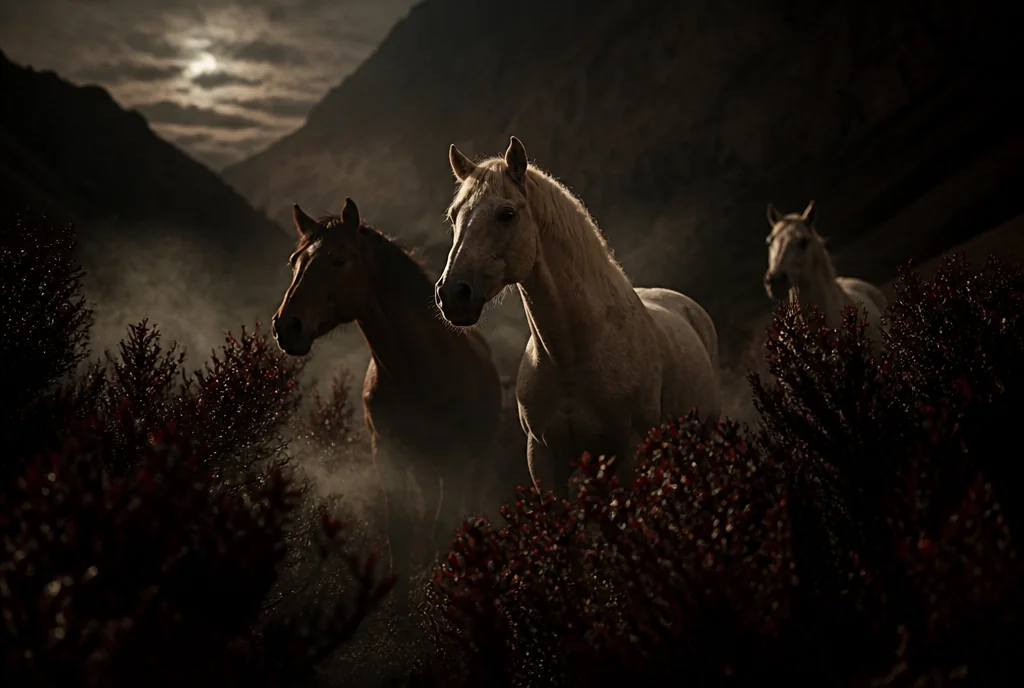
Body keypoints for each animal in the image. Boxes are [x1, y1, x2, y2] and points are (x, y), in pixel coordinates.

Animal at [271, 197, 502, 615]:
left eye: (339, 259)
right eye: (296, 260)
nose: (287, 327)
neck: (420, 372)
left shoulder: (455, 462)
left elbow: (444, 528)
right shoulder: (388, 454)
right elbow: (402, 531)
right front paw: (399, 606)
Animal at [434, 136, 722, 501]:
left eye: (507, 214)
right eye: (454, 215)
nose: (452, 294)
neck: (572, 356)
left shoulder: (629, 453)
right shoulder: (544, 458)